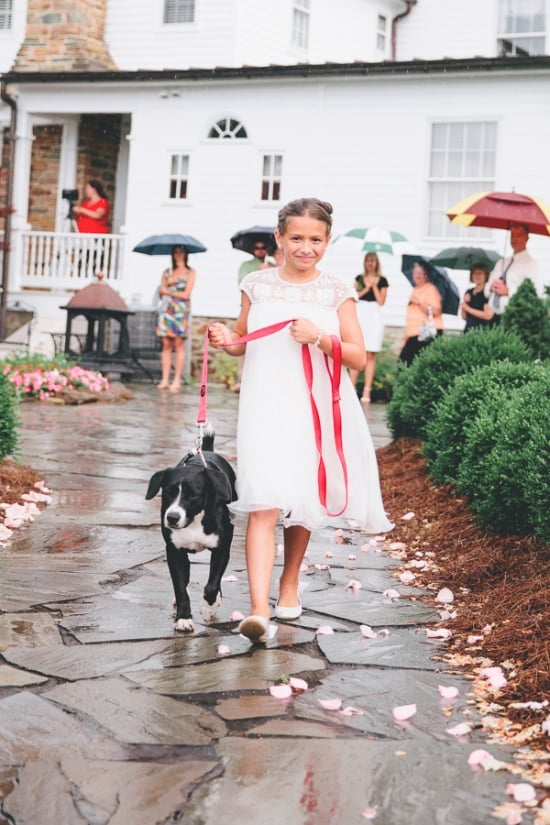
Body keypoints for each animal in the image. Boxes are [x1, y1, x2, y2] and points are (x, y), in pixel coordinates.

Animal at [144, 432, 237, 632]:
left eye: (193, 495)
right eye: (168, 492)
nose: (172, 517)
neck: (194, 519)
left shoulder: (221, 548)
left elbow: (212, 584)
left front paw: (208, 607)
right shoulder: (174, 551)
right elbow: (180, 587)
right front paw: (183, 618)